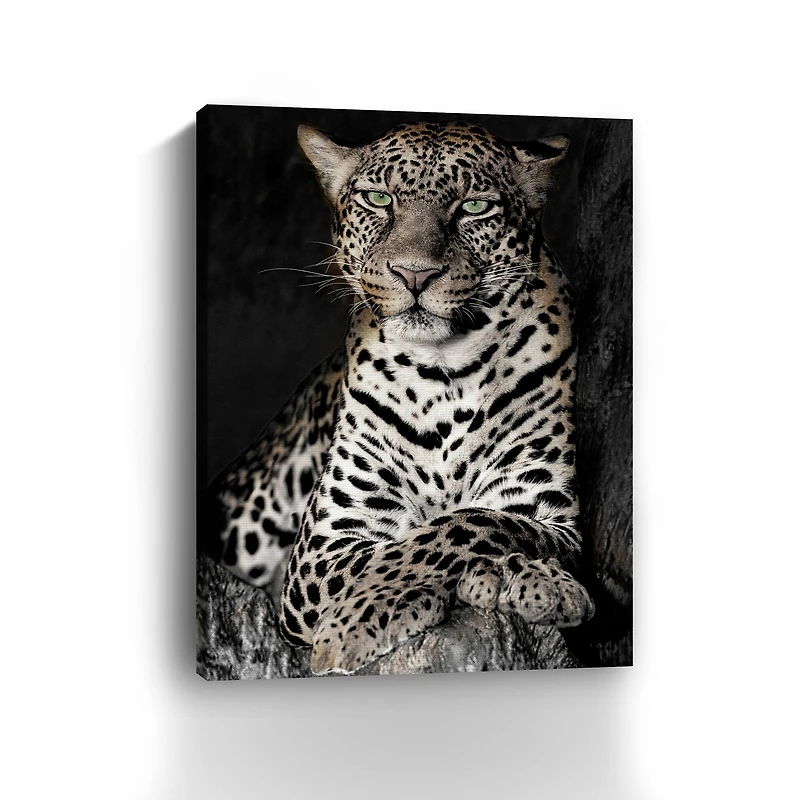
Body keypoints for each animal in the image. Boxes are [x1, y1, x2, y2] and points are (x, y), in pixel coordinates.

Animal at [201, 120, 595, 675]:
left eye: (474, 207)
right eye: (378, 199)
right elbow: (401, 549)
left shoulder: (548, 511)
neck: (446, 372)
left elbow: (468, 525)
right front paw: (355, 622)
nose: (414, 274)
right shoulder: (325, 545)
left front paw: (529, 579)